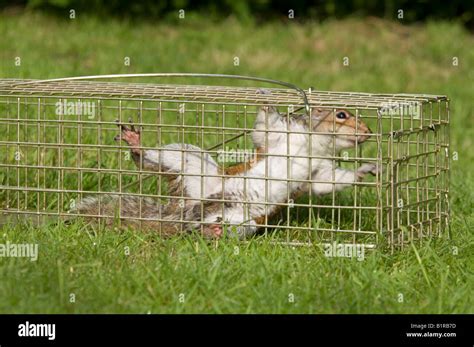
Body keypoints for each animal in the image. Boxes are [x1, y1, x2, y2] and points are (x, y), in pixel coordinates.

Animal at [76, 104, 376, 238]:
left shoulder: (319, 171)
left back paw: (212, 230)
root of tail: (187, 211)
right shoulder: (279, 136)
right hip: (190, 163)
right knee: (153, 161)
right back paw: (137, 146)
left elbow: (330, 182)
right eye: (341, 115)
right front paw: (268, 100)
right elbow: (265, 128)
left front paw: (365, 170)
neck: (315, 144)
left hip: (243, 221)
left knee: (205, 229)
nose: (368, 132)